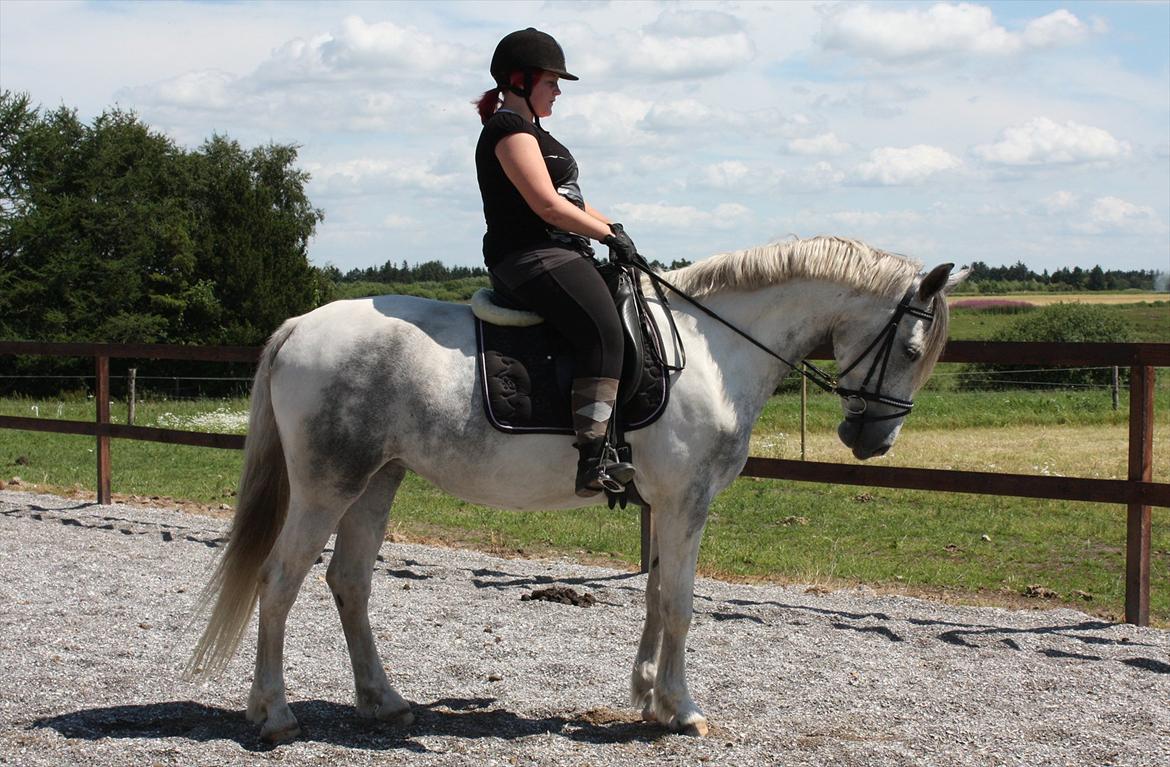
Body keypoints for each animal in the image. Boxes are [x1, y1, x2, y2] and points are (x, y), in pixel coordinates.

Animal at [187, 235, 964, 743]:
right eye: (912, 348)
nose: (872, 440)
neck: (712, 349)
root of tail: (300, 326)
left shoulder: (664, 504)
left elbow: (655, 595)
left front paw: (648, 695)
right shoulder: (686, 501)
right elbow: (681, 603)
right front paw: (682, 709)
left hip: (377, 479)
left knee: (348, 581)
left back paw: (384, 702)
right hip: (328, 484)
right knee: (280, 579)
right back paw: (274, 713)